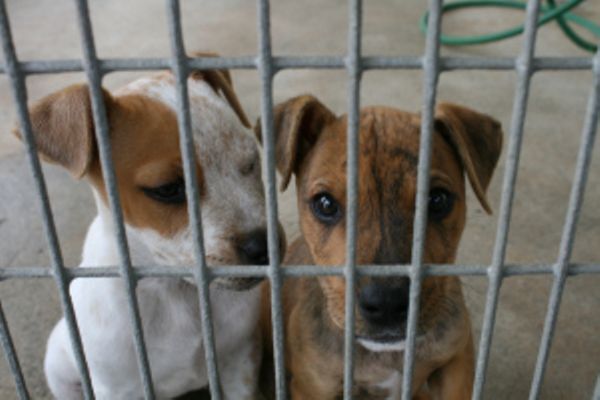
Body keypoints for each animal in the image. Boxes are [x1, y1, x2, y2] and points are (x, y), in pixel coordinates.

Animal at [15, 67, 284, 398]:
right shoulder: (117, 389)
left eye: (250, 163)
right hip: (58, 366)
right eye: (167, 189)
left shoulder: (240, 361)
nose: (266, 246)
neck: (176, 292)